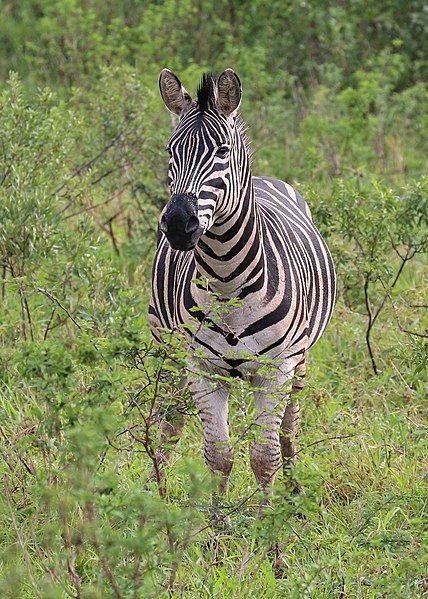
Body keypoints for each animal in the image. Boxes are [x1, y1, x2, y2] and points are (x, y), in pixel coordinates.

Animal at [149, 68, 336, 494]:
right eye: (170, 151)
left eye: (221, 152)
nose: (178, 225)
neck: (226, 280)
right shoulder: (201, 367)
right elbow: (219, 457)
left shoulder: (276, 370)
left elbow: (264, 456)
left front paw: (270, 512)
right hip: (167, 350)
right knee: (168, 422)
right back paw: (158, 491)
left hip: (300, 361)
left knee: (289, 428)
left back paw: (295, 490)